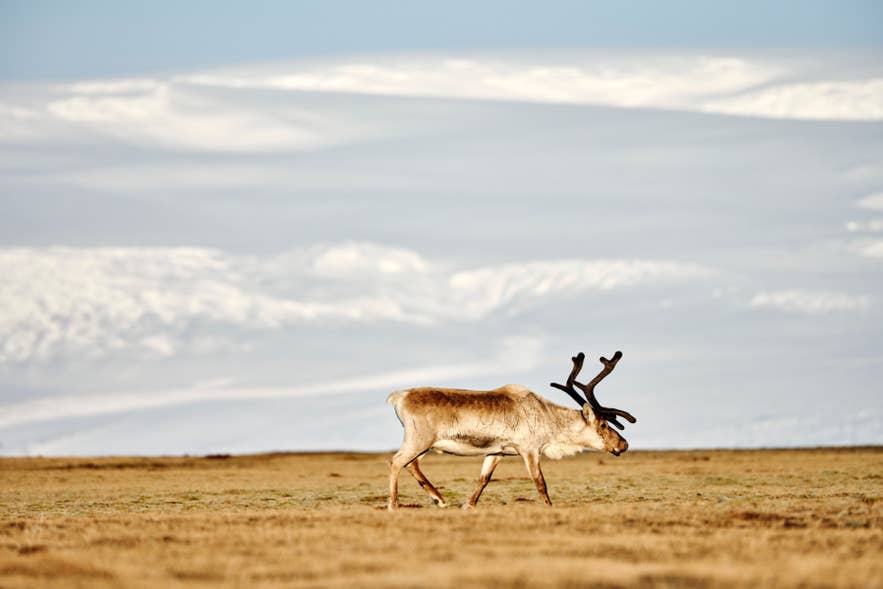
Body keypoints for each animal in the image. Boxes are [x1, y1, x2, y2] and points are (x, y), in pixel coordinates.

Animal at [386, 351, 636, 510]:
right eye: (603, 424)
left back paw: (440, 499)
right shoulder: (530, 450)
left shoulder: (497, 452)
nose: (623, 443)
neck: (547, 417)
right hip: (419, 439)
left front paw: (468, 505)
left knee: (411, 465)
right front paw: (549, 507)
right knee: (397, 461)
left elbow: (484, 479)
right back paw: (393, 504)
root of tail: (399, 396)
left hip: (424, 444)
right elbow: (540, 483)